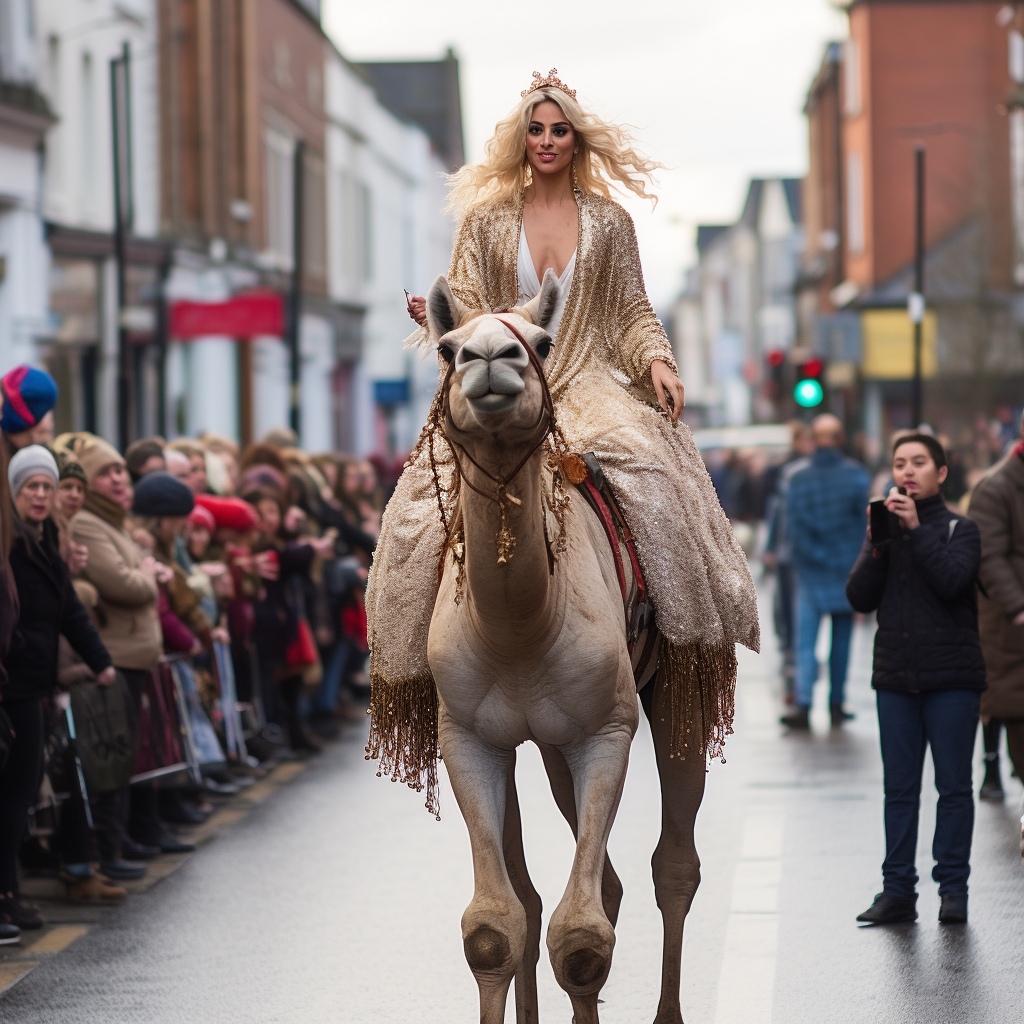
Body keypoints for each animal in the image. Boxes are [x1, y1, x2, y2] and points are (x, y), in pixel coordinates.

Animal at [419, 272, 708, 1024]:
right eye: (448, 346)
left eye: (541, 343)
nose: (492, 359)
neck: (520, 627)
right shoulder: (469, 739)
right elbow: (495, 925)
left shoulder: (604, 731)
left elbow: (581, 939)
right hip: (544, 748)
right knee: (557, 888)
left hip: (678, 693)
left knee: (672, 866)